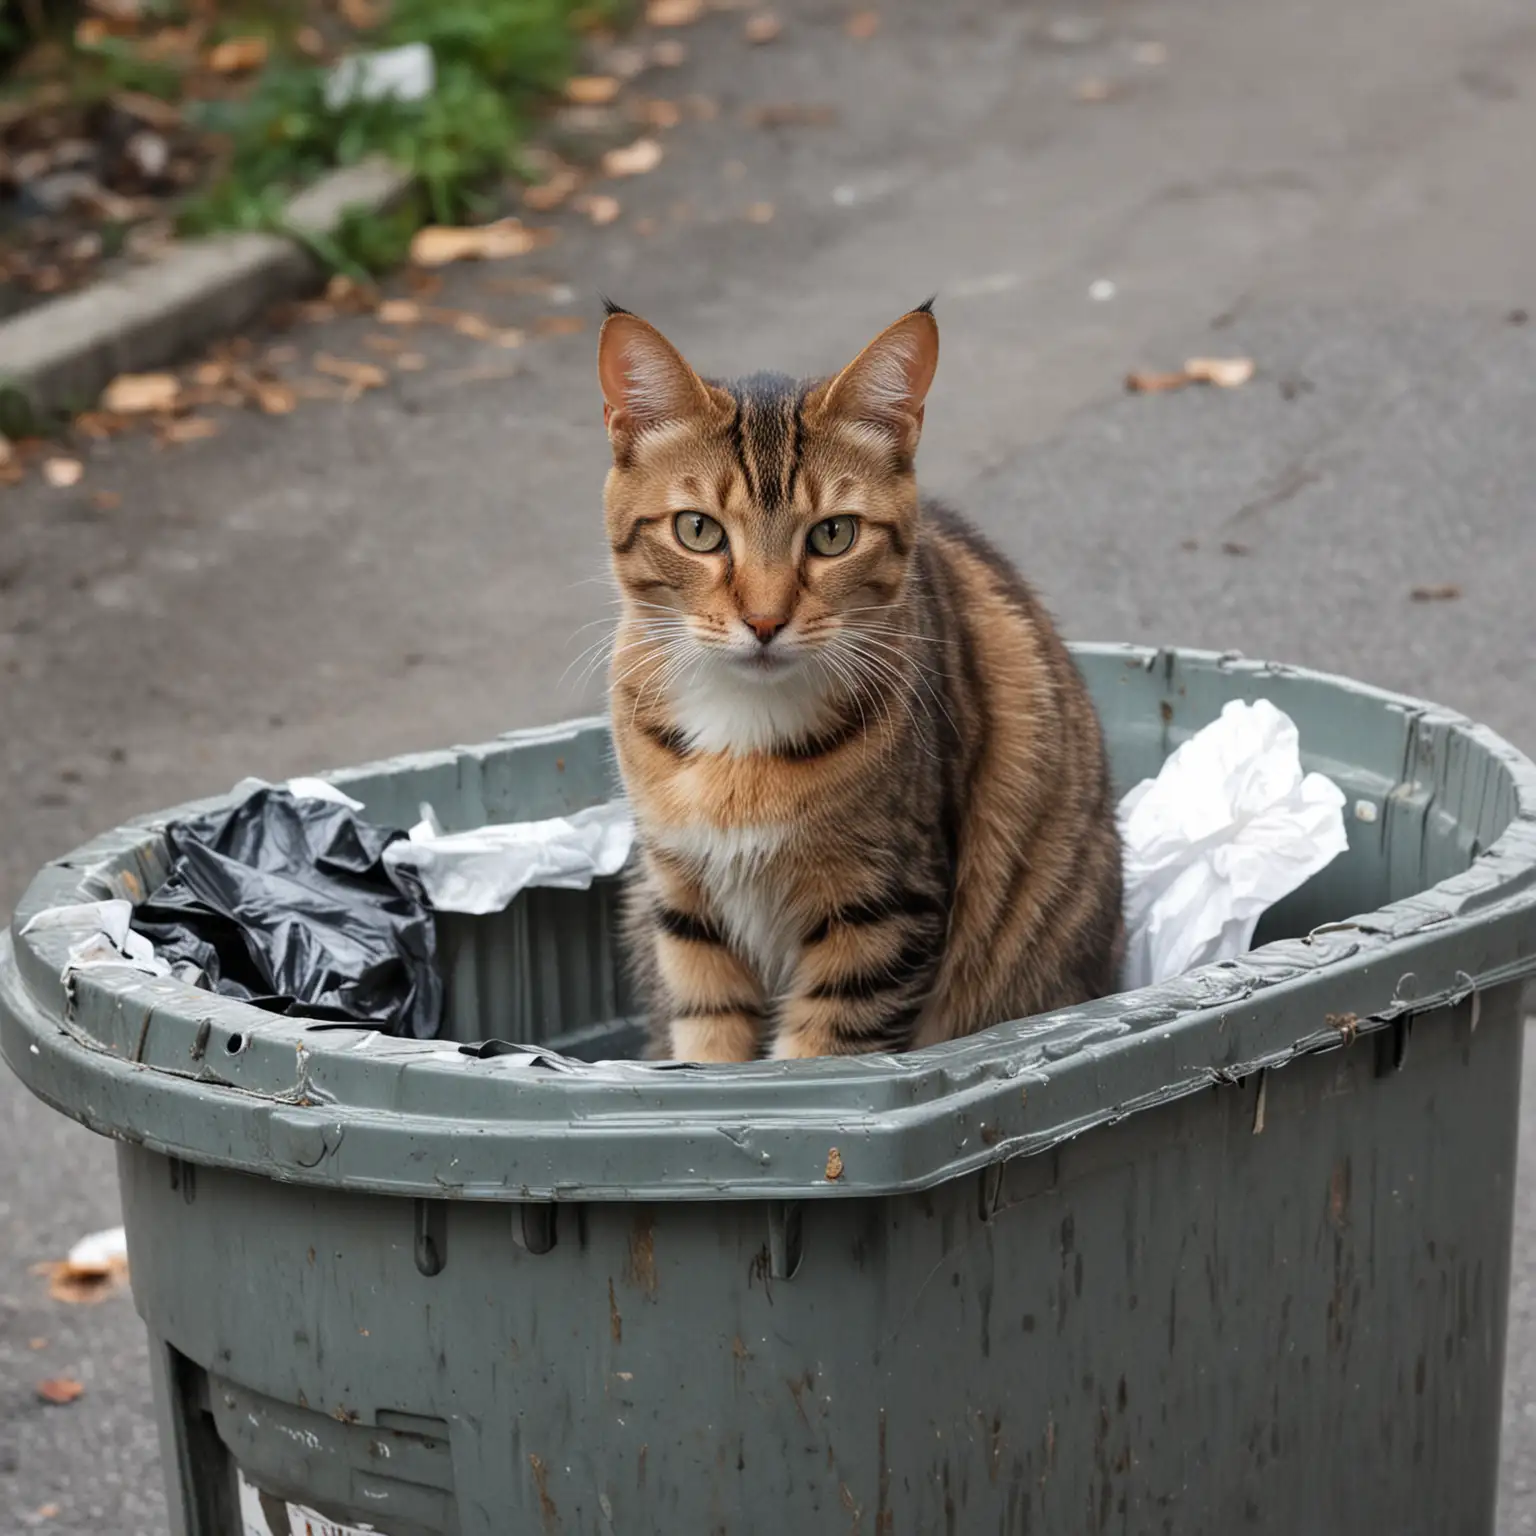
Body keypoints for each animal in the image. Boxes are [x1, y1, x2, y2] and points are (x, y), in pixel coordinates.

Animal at [595, 297, 1118, 1056]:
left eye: (833, 535)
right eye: (698, 529)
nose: (764, 620)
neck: (742, 728)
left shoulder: (881, 913)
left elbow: (817, 1056)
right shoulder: (684, 902)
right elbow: (709, 1035)